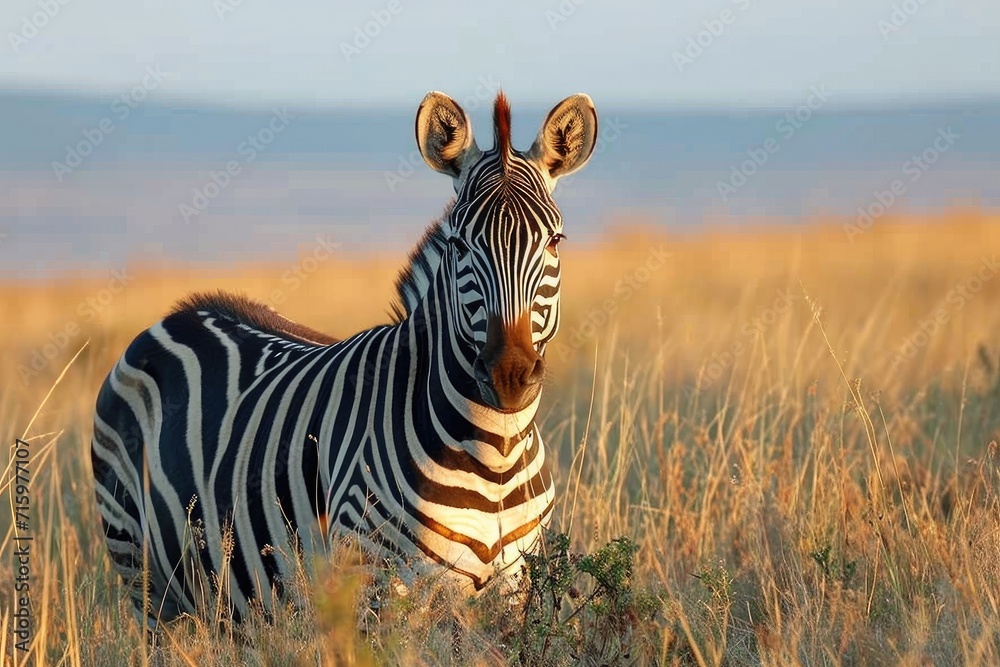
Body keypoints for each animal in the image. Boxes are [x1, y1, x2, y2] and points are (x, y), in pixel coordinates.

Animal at [91, 90, 598, 625]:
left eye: (555, 241)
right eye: (460, 245)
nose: (508, 375)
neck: (495, 454)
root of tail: (177, 316)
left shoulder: (516, 591)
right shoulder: (376, 580)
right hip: (143, 576)